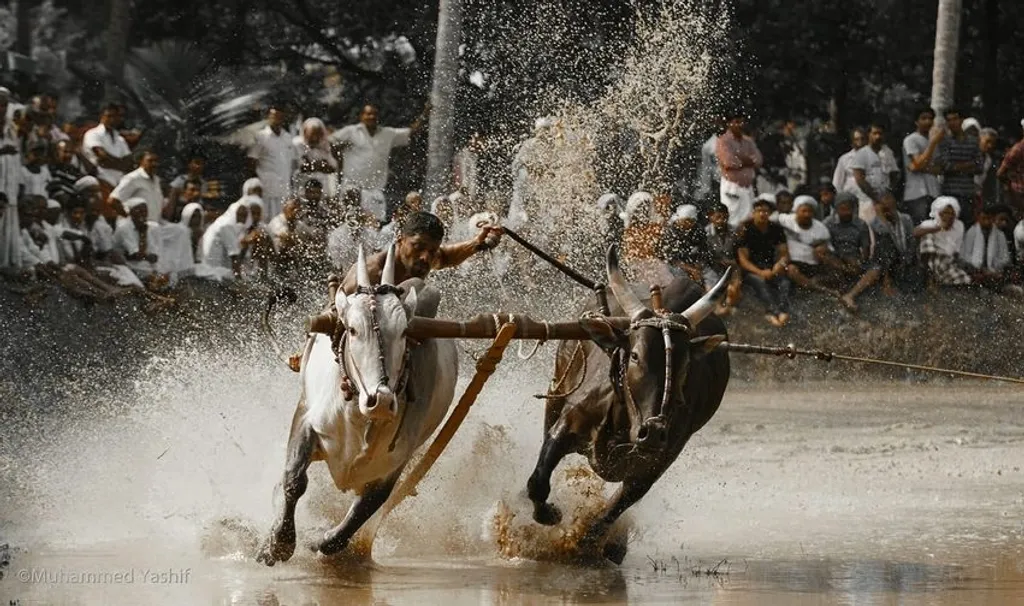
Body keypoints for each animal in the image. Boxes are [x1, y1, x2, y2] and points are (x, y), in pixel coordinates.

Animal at [258, 243, 458, 565]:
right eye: (352, 330)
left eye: (404, 332)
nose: (381, 401)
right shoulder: (306, 419)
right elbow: (294, 480)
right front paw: (278, 544)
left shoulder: (396, 461)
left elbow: (365, 509)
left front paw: (320, 540)